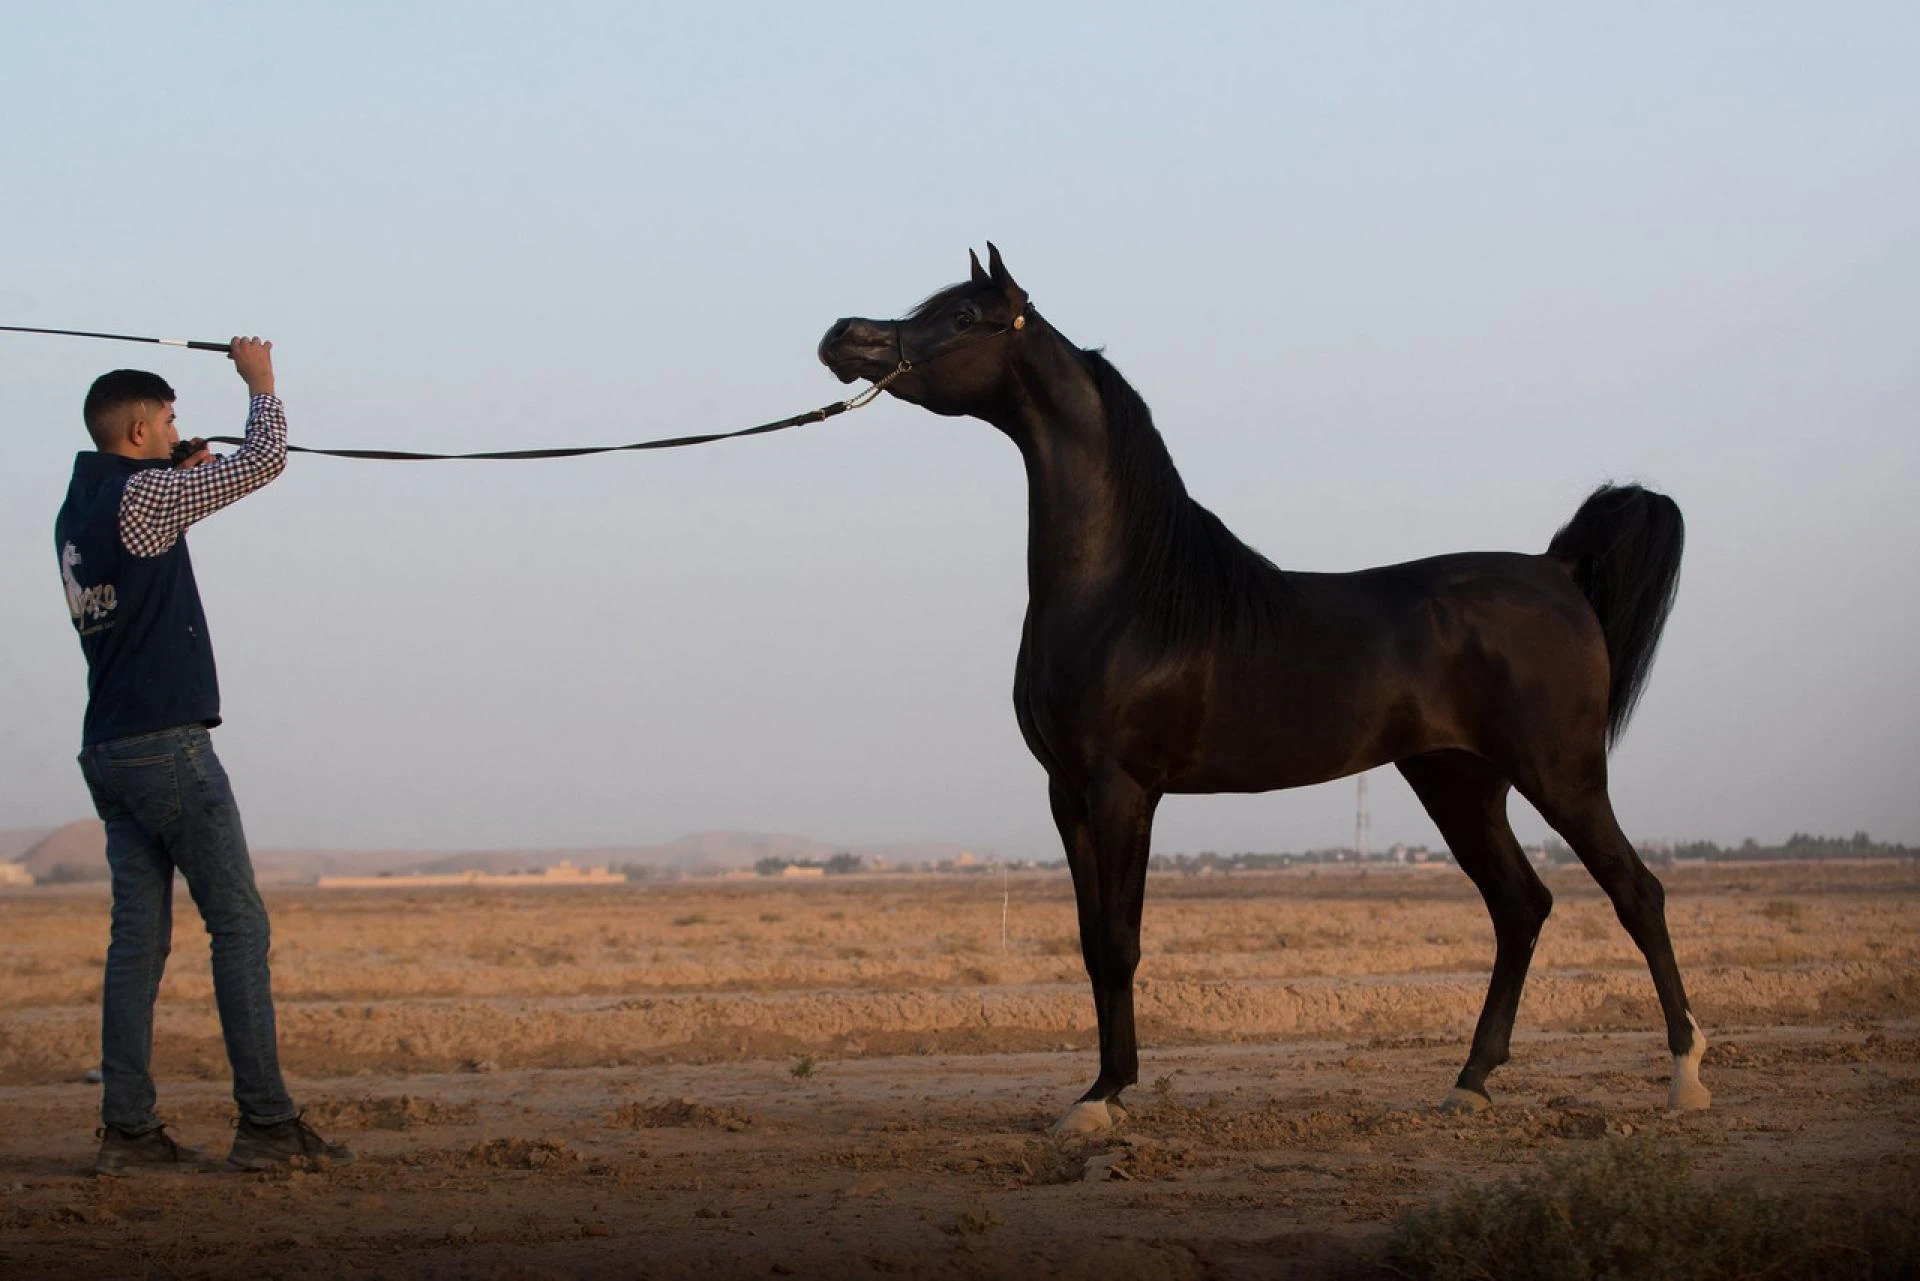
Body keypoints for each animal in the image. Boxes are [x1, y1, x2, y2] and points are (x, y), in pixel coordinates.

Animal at [818, 244, 1709, 1135]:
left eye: (963, 317)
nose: (843, 336)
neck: (1125, 591)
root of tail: (1555, 571)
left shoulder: (1123, 787)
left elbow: (1121, 940)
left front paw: (1106, 1095)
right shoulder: (1064, 791)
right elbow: (1090, 941)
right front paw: (1097, 1088)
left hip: (1561, 775)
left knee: (1637, 893)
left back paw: (1686, 1075)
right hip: (1459, 783)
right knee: (1520, 906)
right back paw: (1471, 1079)